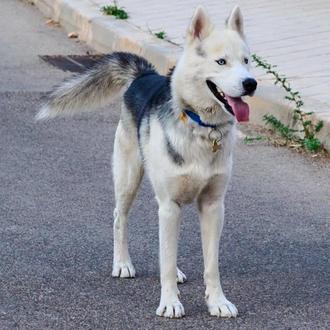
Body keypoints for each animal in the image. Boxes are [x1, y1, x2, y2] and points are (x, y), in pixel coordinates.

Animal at [36, 5, 258, 318]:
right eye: (221, 61)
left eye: (247, 61)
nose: (251, 84)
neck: (201, 127)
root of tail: (144, 75)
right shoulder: (170, 204)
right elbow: (165, 259)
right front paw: (170, 302)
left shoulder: (213, 207)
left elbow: (211, 265)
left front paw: (217, 302)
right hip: (130, 180)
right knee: (120, 218)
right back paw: (122, 264)